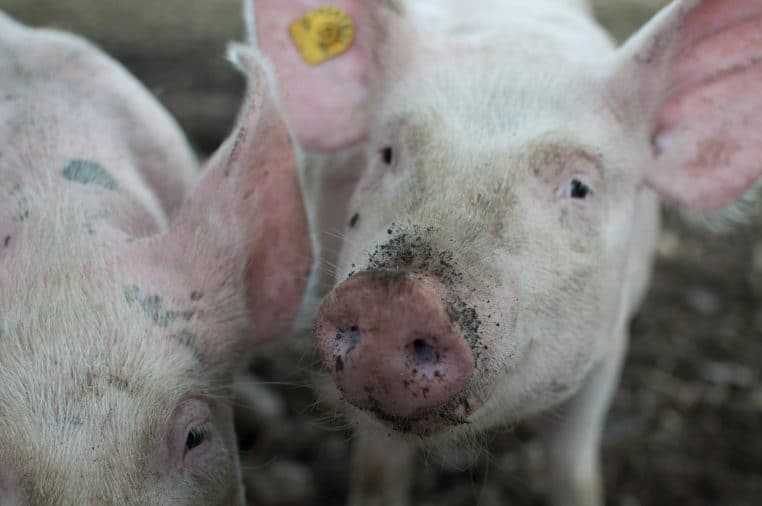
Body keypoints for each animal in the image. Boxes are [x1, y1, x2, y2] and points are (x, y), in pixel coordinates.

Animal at [246, 0, 762, 504]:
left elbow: (571, 466)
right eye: (387, 153)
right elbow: (378, 470)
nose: (394, 295)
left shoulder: (611, 343)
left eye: (579, 187)